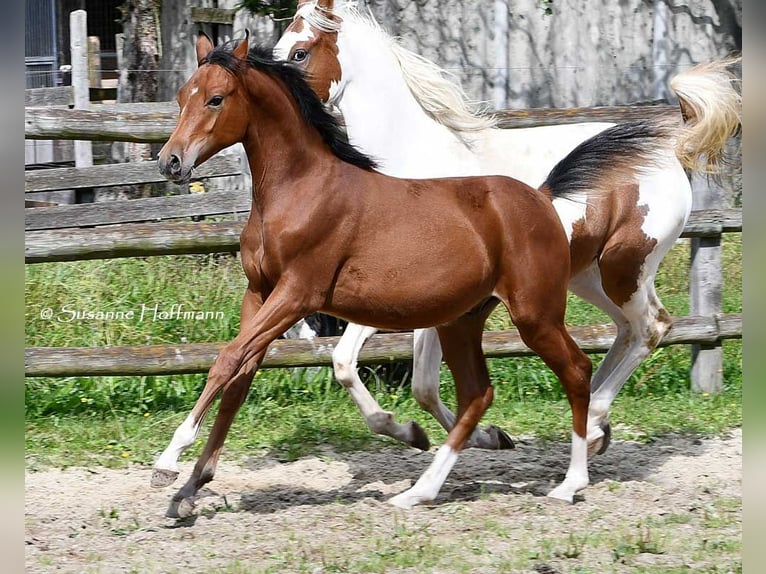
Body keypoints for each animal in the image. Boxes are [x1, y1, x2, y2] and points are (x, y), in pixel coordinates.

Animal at [152, 31, 592, 516]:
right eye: (182, 97)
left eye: (216, 98)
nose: (170, 161)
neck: (299, 191)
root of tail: (542, 196)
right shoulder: (260, 293)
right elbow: (238, 380)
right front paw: (190, 489)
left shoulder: (297, 293)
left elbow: (226, 361)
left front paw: (168, 463)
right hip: (462, 320)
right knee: (477, 394)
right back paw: (423, 487)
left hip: (535, 314)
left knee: (578, 370)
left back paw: (571, 481)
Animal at [274, 1, 744, 460]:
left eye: (300, 53)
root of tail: (669, 149)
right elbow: (376, 372)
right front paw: (470, 436)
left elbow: (391, 374)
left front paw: (432, 434)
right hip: (586, 275)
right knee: (628, 329)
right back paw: (595, 426)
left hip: (624, 267)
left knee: (651, 326)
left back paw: (593, 422)